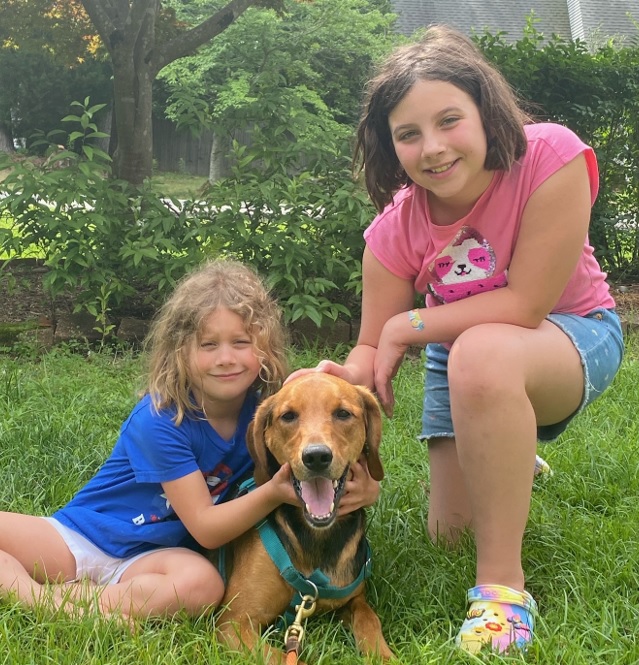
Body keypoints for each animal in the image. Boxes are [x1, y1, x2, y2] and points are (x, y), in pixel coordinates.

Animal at [216, 370, 396, 660]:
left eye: (343, 413)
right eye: (288, 416)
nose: (317, 457)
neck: (317, 540)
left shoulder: (354, 600)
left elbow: (370, 620)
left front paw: (384, 656)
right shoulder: (234, 622)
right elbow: (279, 658)